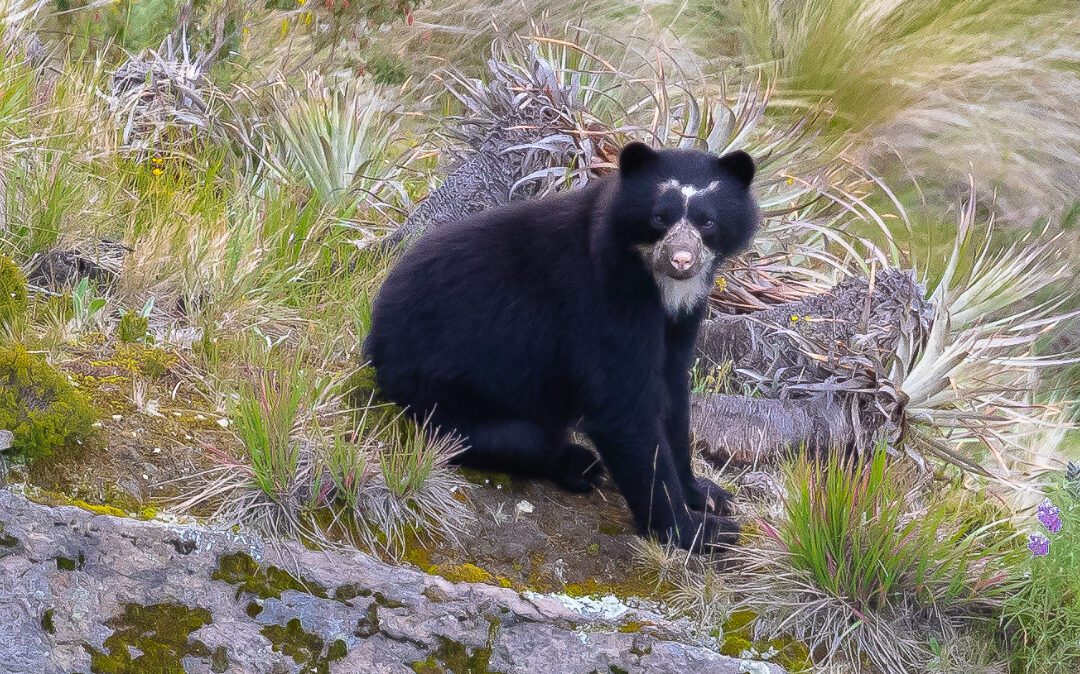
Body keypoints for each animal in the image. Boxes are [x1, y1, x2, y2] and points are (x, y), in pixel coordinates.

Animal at [367, 144, 764, 550]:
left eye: (707, 222)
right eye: (660, 217)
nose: (681, 260)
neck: (660, 284)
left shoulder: (683, 314)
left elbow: (672, 393)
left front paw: (708, 494)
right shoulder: (605, 298)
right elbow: (623, 408)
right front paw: (699, 532)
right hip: (441, 396)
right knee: (520, 439)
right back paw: (579, 466)